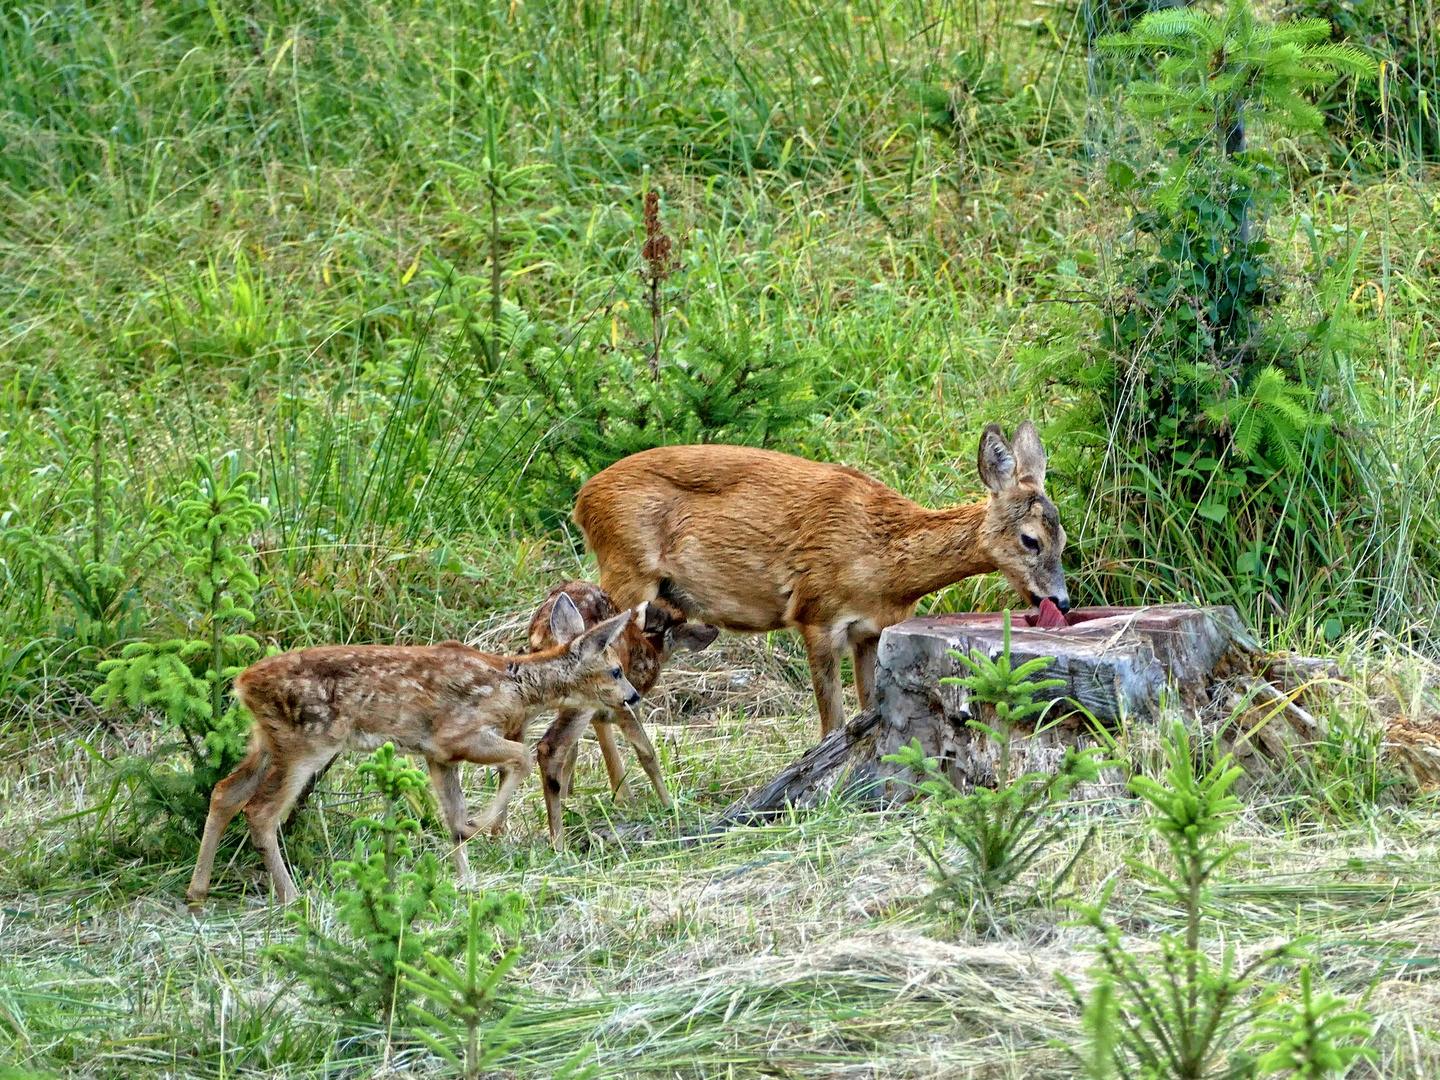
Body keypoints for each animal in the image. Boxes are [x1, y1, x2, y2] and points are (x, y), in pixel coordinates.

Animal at [185, 596, 642, 910]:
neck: (513, 689)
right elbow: (521, 757)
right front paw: (480, 828)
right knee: (260, 811)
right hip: (306, 743)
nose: (633, 696)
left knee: (225, 791)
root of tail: (242, 683)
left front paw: (465, 881)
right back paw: (292, 897)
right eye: (616, 670)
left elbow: (452, 817)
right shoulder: (455, 735)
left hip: (266, 740)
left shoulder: (435, 755)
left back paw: (197, 892)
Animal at [527, 587, 717, 852]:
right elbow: (646, 752)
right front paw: (668, 805)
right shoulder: (626, 699)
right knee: (550, 747)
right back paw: (558, 844)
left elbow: (590, 746)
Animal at [576, 423, 1071, 737]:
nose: (1062, 601)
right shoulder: (816, 613)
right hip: (627, 572)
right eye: (1030, 540)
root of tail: (583, 500)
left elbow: (869, 709)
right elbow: (831, 722)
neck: (883, 561)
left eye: (1064, 537)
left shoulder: (870, 631)